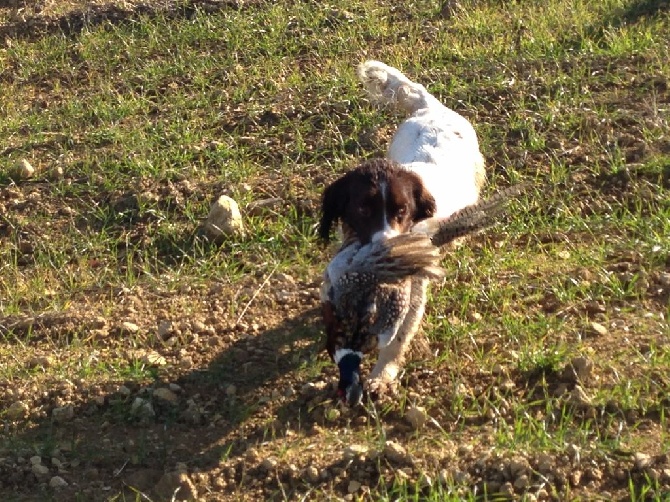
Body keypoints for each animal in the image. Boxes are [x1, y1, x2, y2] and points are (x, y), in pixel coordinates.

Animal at [322, 59, 488, 396]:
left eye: (402, 211)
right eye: (363, 209)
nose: (388, 251)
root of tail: (432, 107)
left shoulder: (413, 292)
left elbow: (396, 337)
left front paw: (381, 374)